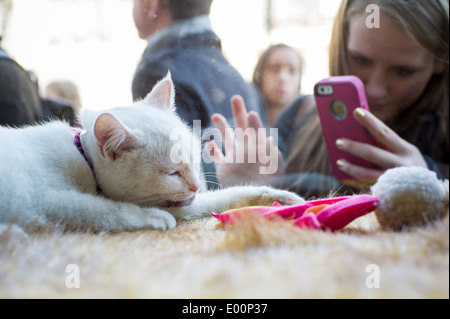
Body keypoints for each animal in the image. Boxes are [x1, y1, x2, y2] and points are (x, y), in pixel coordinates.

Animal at [0, 73, 304, 232]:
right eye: (171, 173)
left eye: (193, 161)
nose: (196, 185)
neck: (83, 159)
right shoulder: (37, 200)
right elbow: (101, 209)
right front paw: (152, 217)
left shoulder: (184, 203)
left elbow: (225, 196)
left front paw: (279, 197)